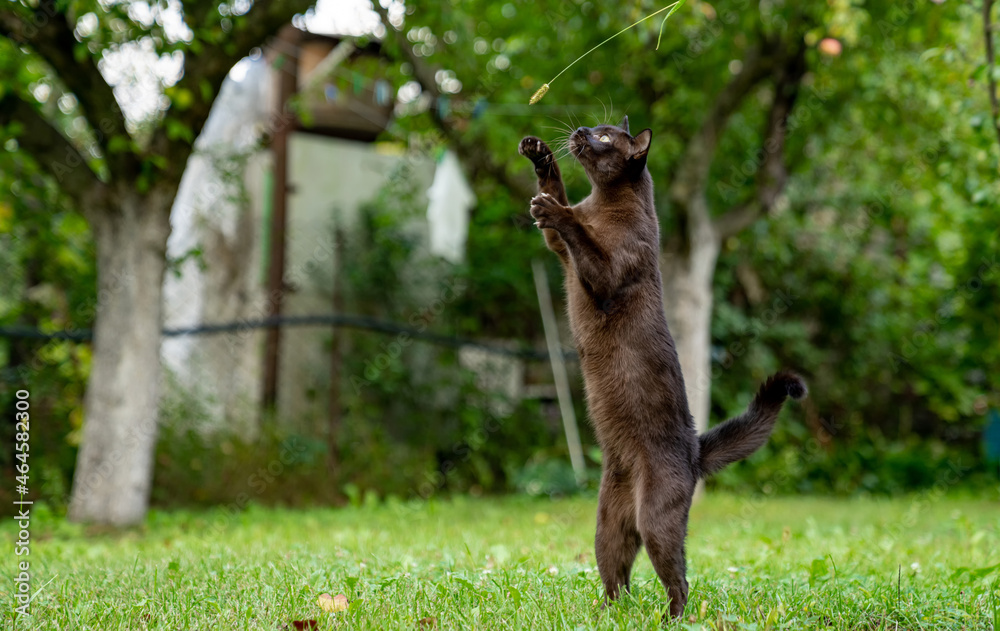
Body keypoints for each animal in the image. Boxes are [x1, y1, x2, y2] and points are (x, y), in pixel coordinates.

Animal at [516, 117, 804, 616]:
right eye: (594, 128)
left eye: (605, 138)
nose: (582, 129)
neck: (601, 202)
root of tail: (694, 452)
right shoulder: (560, 252)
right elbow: (558, 197)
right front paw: (538, 155)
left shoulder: (607, 271)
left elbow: (577, 231)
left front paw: (552, 208)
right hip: (607, 526)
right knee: (617, 576)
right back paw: (607, 615)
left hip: (656, 521)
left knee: (680, 580)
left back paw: (672, 619)